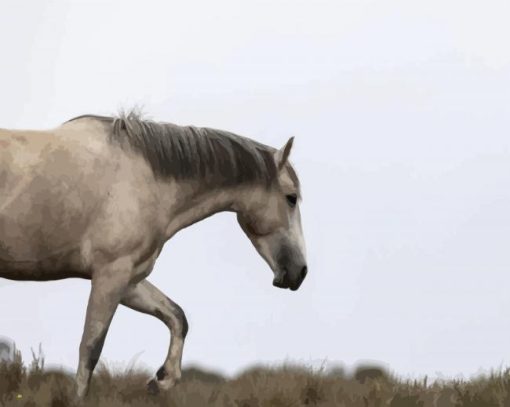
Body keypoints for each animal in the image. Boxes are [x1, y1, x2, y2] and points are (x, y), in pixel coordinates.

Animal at [0, 111, 306, 398]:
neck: (144, 179)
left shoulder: (130, 280)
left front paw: (162, 380)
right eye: (291, 198)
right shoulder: (111, 275)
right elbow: (90, 349)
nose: (300, 272)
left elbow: (177, 316)